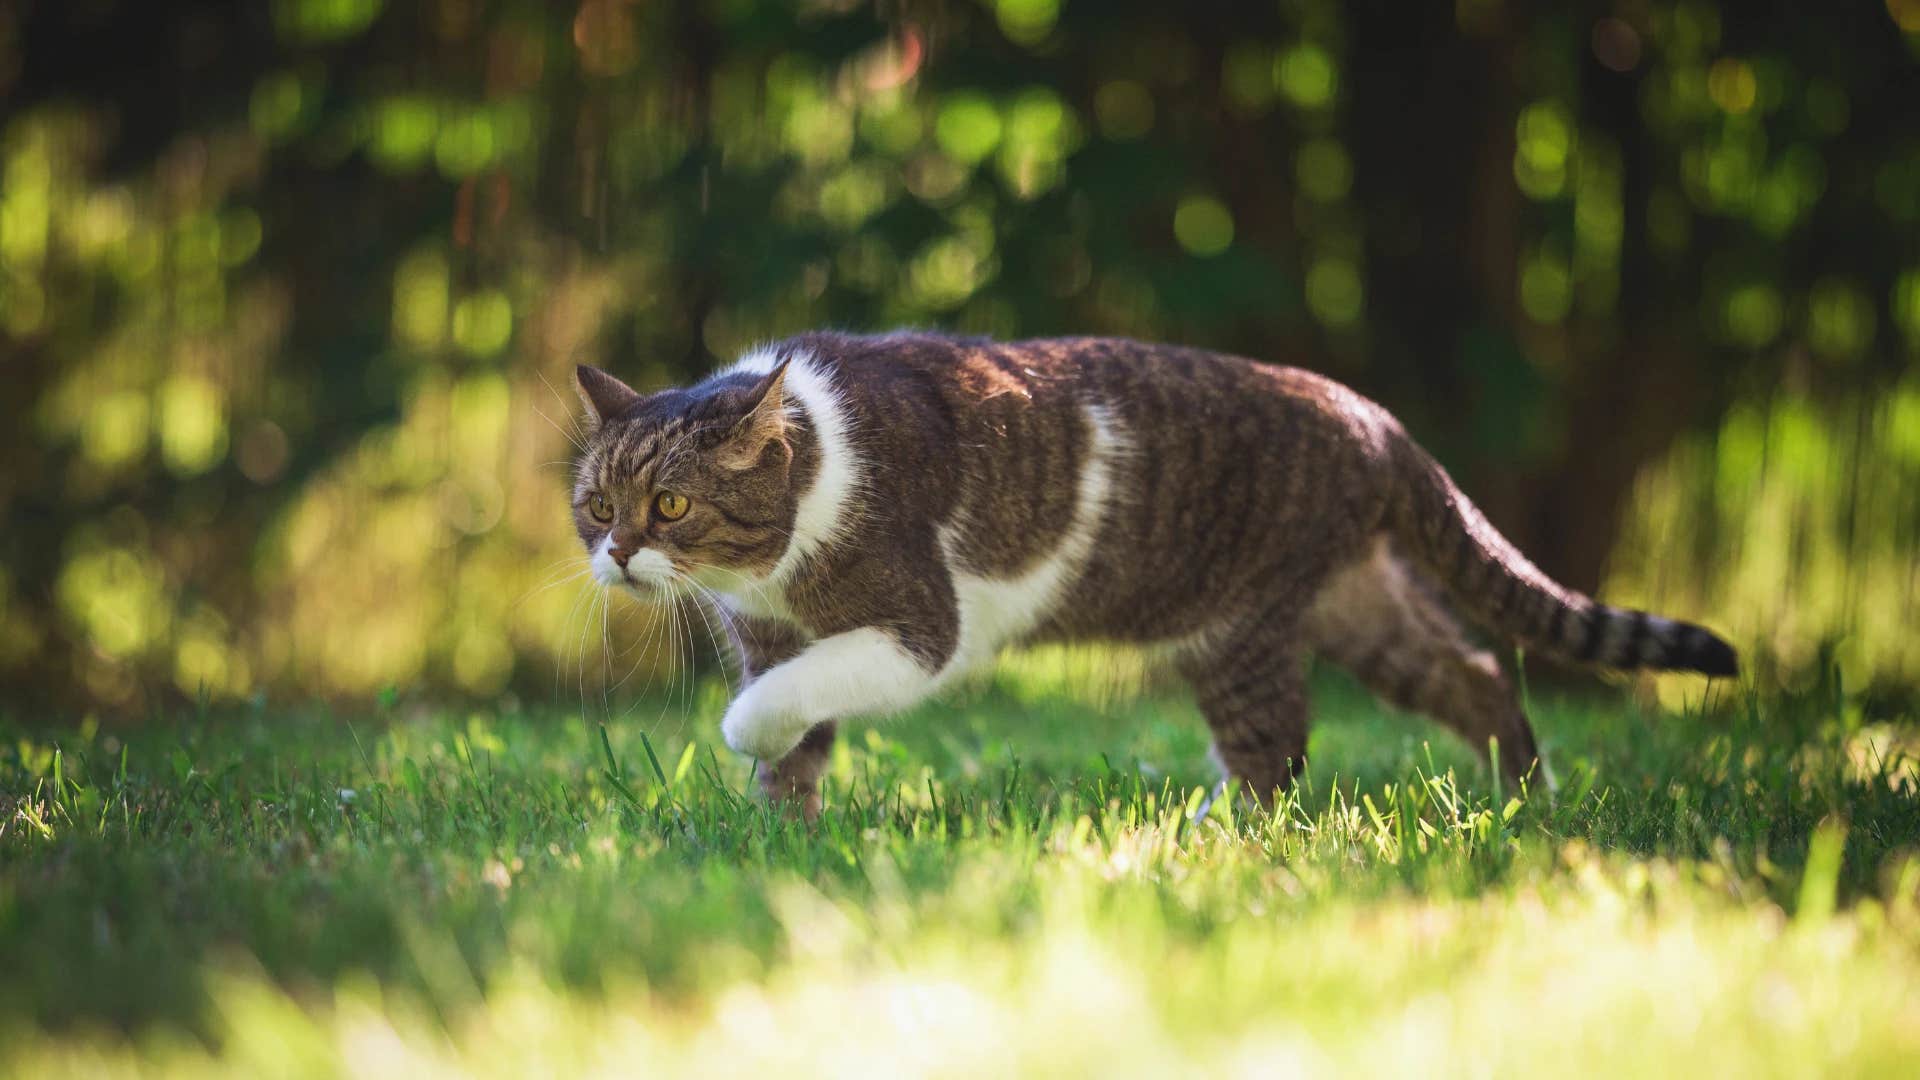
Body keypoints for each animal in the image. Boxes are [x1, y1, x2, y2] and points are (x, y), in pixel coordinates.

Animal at [572, 330, 1743, 814]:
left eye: (671, 505)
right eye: (596, 504)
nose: (618, 552)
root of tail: (1375, 417)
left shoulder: (917, 626)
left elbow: (795, 694)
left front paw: (748, 739)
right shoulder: (770, 628)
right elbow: (799, 736)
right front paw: (786, 829)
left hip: (1238, 624)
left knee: (1277, 749)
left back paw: (1207, 835)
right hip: (1352, 597)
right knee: (1477, 673)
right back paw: (1524, 800)